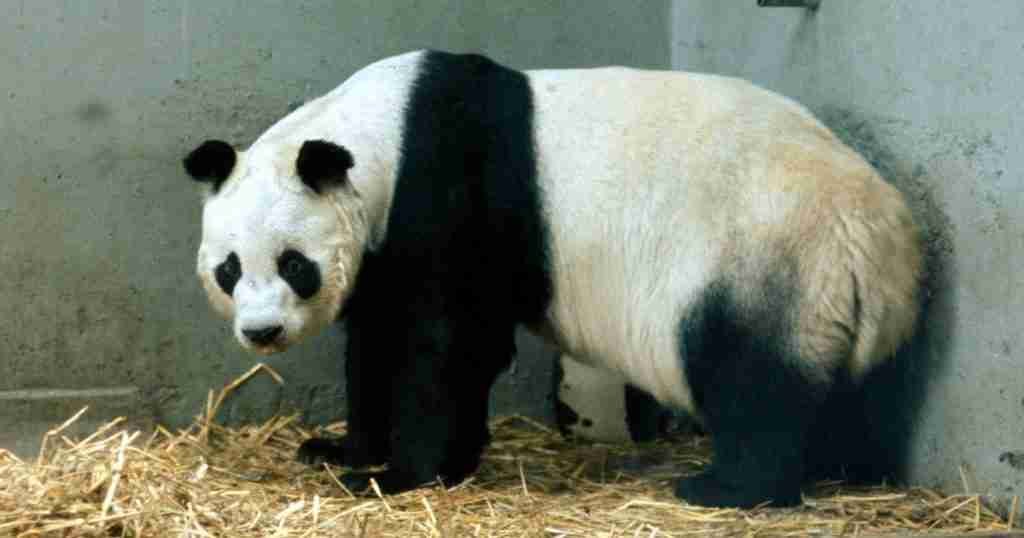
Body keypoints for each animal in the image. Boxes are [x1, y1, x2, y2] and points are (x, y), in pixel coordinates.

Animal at [180, 50, 925, 508]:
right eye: (229, 268)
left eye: (293, 264)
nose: (263, 332)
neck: (378, 134)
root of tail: (880, 243)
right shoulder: (386, 247)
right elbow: (379, 340)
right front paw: (341, 449)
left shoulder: (451, 184)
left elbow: (448, 343)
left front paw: (403, 474)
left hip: (762, 257)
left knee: (755, 380)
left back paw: (729, 486)